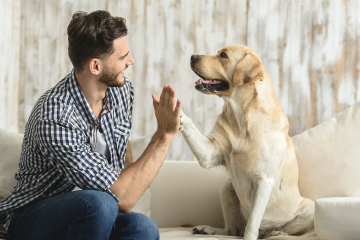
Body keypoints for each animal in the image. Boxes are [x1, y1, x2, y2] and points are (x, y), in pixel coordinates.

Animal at [180, 44, 316, 238]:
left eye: (223, 55)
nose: (192, 56)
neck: (241, 118)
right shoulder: (210, 154)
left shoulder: (264, 181)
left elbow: (252, 224)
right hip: (226, 189)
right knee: (231, 230)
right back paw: (207, 229)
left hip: (310, 208)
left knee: (278, 230)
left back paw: (275, 233)